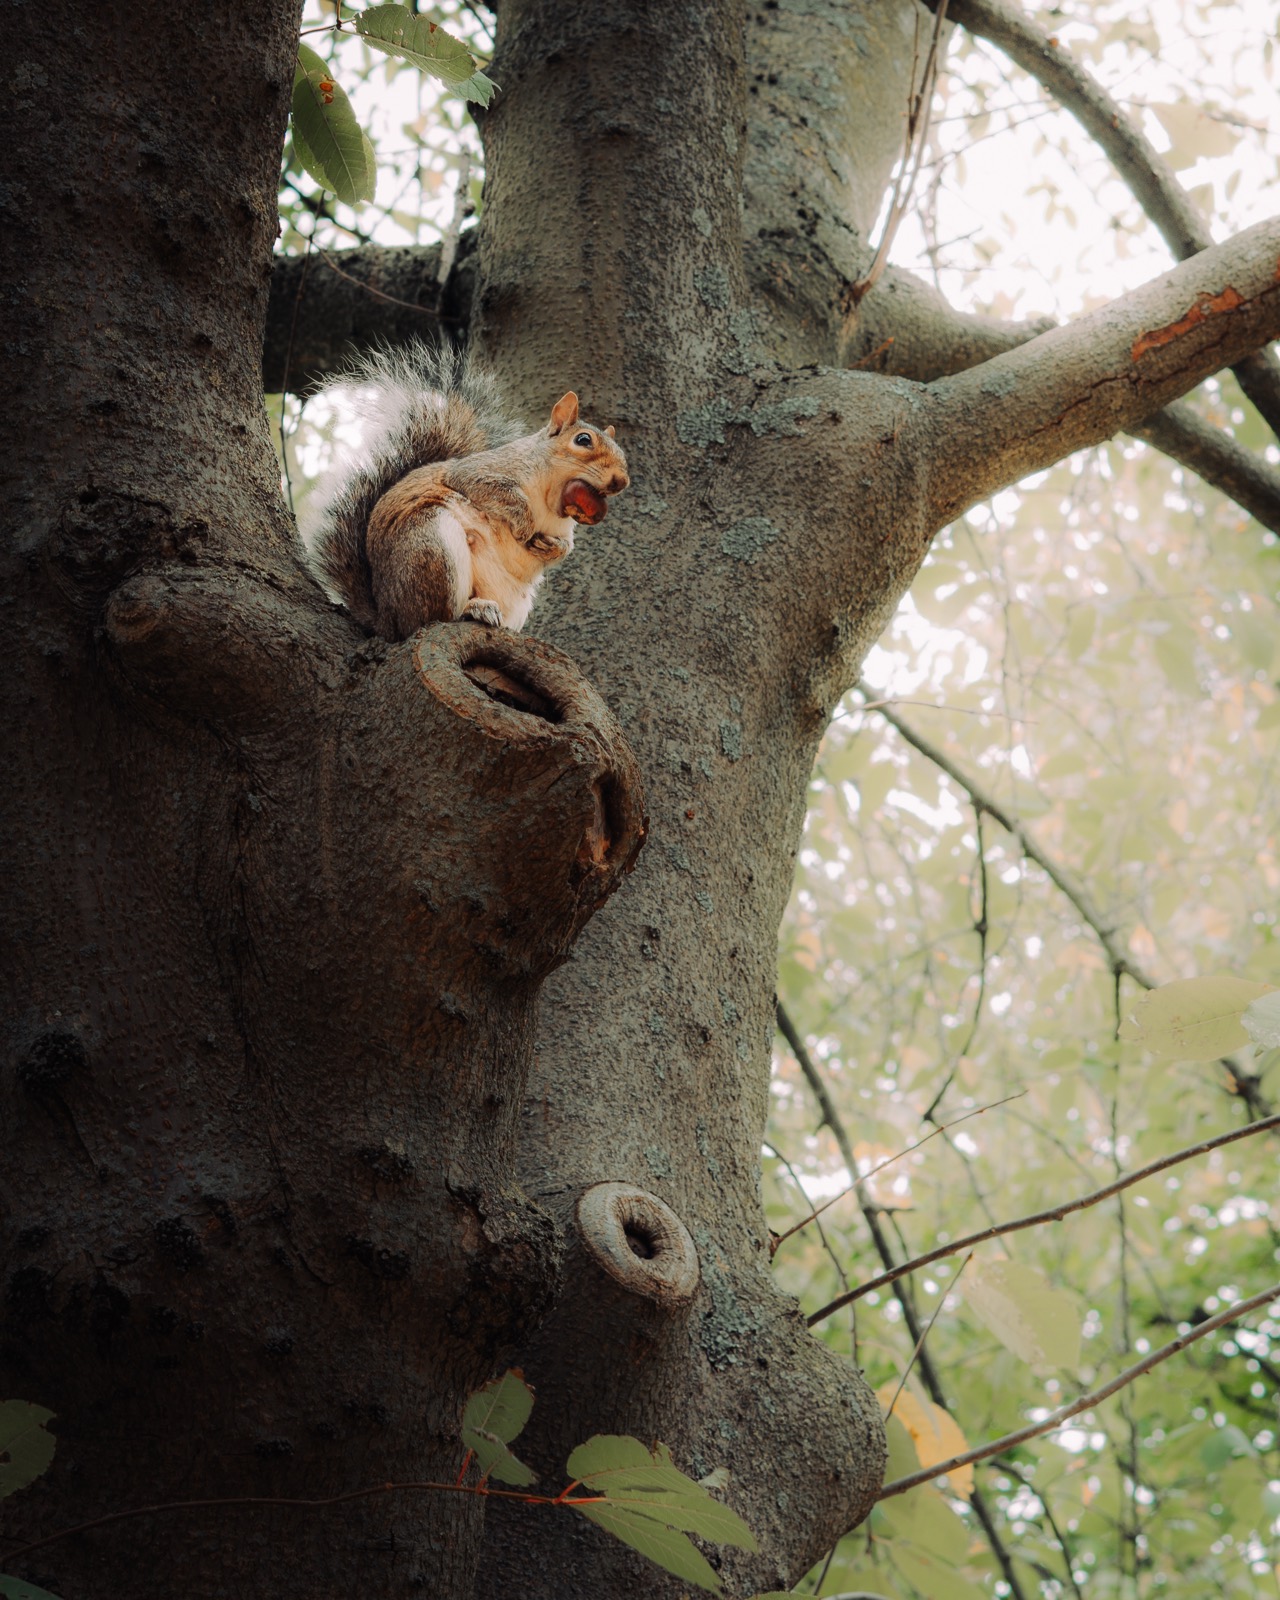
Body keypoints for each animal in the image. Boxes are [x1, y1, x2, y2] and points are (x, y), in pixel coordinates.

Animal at [298, 344, 629, 639]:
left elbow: (567, 546)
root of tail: (387, 620)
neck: (550, 500)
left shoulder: (563, 526)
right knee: (433, 618)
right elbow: (486, 487)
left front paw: (554, 548)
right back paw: (473, 609)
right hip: (430, 542)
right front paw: (523, 524)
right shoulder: (482, 471)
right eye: (583, 440)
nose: (621, 481)